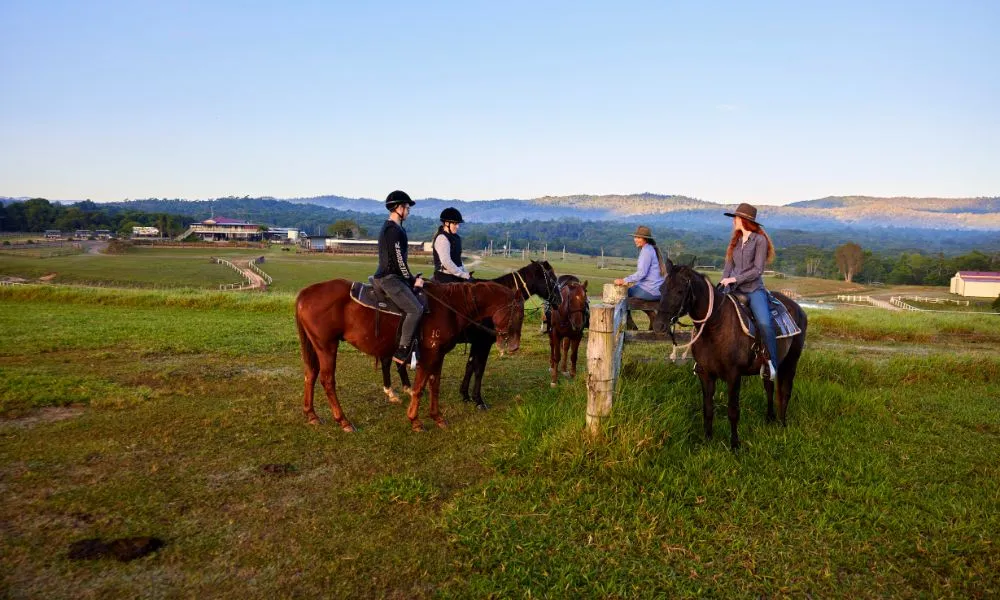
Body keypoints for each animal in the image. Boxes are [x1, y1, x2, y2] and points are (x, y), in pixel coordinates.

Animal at [295, 279, 524, 432]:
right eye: (519, 313)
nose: (514, 346)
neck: (449, 307)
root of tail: (306, 293)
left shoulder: (439, 355)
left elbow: (434, 385)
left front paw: (437, 417)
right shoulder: (429, 354)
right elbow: (419, 387)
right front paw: (415, 420)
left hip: (315, 346)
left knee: (310, 374)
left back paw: (311, 414)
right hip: (327, 346)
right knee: (327, 380)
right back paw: (343, 420)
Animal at [652, 261, 808, 449]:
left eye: (680, 291)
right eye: (661, 289)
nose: (658, 326)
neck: (715, 325)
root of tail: (797, 308)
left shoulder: (734, 375)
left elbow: (733, 410)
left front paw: (735, 445)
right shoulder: (705, 374)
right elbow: (708, 408)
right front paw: (708, 440)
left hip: (791, 361)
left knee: (785, 391)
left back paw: (782, 423)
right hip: (767, 365)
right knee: (769, 388)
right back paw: (770, 418)